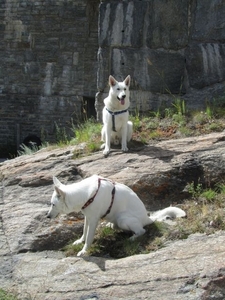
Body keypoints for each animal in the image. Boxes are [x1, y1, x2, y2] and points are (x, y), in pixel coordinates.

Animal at [46, 175, 185, 256]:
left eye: (53, 204)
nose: (47, 216)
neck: (86, 195)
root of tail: (148, 217)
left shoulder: (93, 220)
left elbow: (89, 238)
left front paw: (84, 250)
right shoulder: (87, 217)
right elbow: (84, 232)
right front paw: (80, 241)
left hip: (123, 219)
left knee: (141, 231)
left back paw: (132, 238)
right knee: (118, 226)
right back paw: (111, 226)